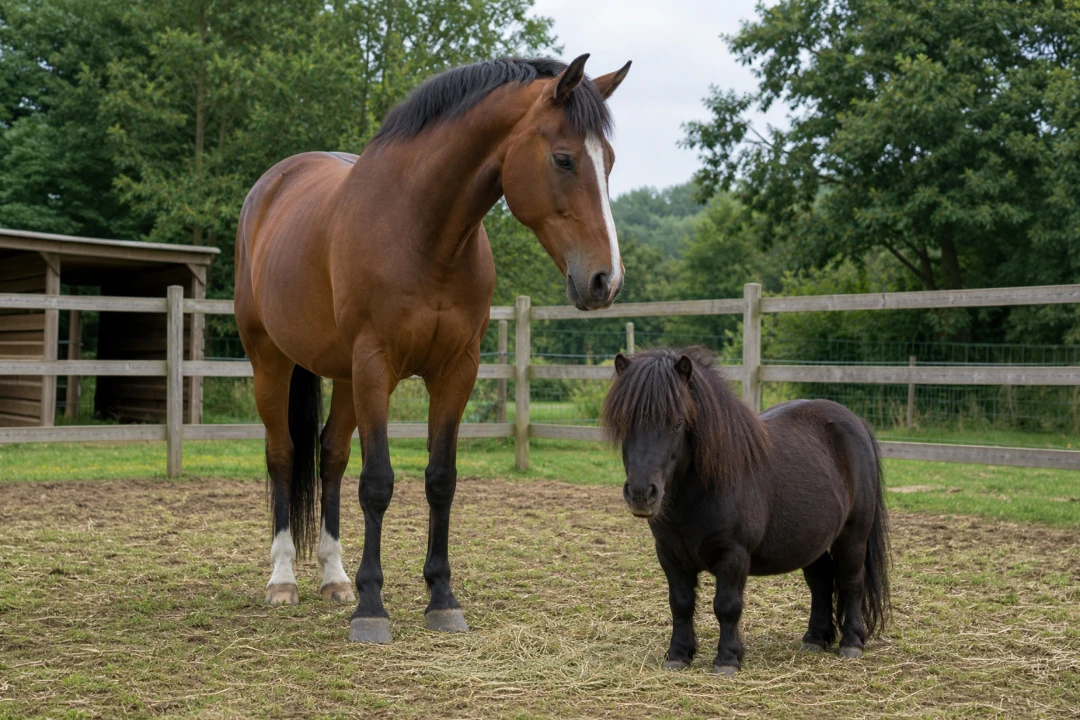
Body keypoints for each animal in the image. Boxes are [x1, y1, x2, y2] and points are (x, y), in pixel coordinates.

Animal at [234, 55, 631, 644]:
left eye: (609, 162)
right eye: (563, 159)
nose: (606, 280)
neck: (423, 231)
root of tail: (272, 185)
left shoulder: (455, 371)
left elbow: (440, 480)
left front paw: (441, 597)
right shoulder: (375, 366)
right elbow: (377, 483)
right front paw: (372, 608)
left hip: (344, 376)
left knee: (330, 457)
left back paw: (334, 577)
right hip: (271, 360)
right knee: (282, 455)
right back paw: (283, 579)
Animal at [601, 348, 890, 674]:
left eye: (676, 423)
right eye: (624, 423)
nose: (641, 493)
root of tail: (855, 421)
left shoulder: (733, 555)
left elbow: (727, 606)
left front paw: (727, 659)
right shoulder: (669, 554)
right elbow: (681, 603)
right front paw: (678, 655)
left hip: (853, 536)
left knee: (851, 581)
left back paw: (851, 643)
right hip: (811, 540)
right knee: (821, 582)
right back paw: (815, 639)